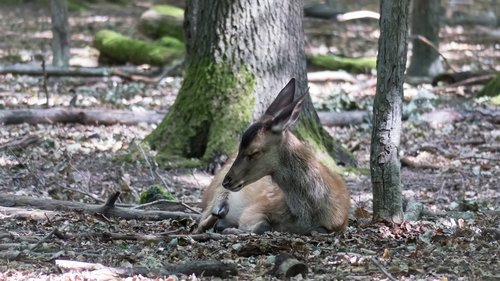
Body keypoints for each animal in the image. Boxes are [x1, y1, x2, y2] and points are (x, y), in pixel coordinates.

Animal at [197, 77, 350, 233]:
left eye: (254, 151)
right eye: (239, 147)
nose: (227, 181)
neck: (305, 217)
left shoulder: (338, 224)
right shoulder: (259, 205)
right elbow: (263, 226)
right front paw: (231, 228)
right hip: (216, 191)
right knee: (204, 217)